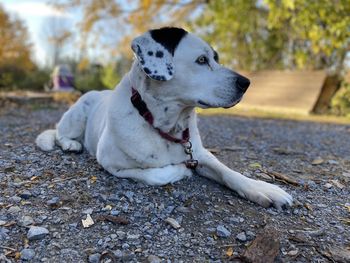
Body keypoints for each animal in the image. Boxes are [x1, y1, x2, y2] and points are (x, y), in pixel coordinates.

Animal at [35, 26, 292, 210]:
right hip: (77, 113)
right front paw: (181, 171)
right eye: (201, 60)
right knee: (58, 133)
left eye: (216, 58)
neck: (167, 126)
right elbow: (157, 174)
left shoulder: (200, 153)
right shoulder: (111, 163)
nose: (246, 83)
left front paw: (260, 188)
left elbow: (229, 172)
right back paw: (70, 144)